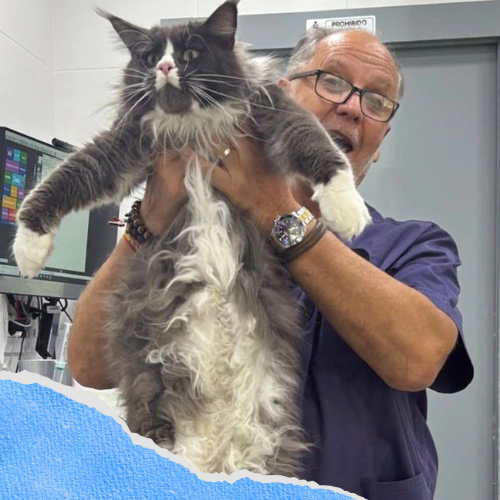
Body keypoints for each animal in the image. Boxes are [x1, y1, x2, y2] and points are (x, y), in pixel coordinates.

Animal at [13, 0, 370, 476]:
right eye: (149, 57)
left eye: (190, 54)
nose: (164, 67)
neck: (193, 124)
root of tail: (212, 455)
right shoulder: (127, 143)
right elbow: (64, 179)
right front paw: (28, 248)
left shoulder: (271, 111)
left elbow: (317, 144)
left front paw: (346, 208)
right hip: (152, 392)